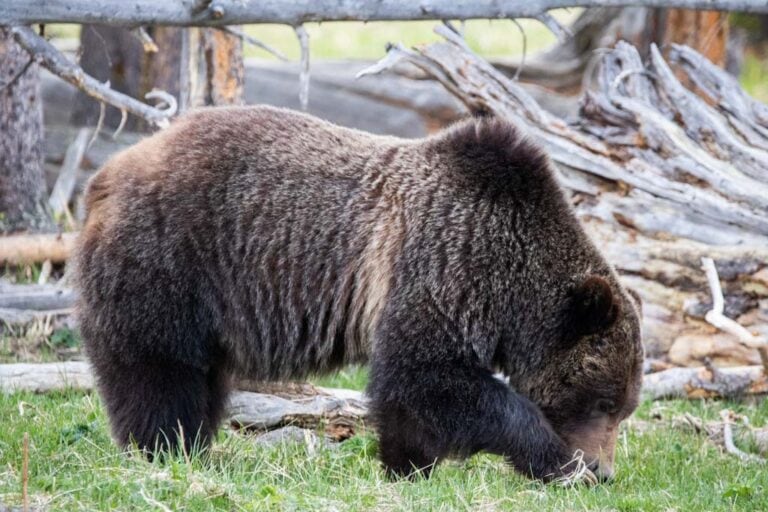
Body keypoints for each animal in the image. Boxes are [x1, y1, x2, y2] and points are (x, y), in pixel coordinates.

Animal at [76, 106, 640, 482]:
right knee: (157, 370)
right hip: (169, 261)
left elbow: (413, 402)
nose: (604, 469)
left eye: (624, 407)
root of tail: (106, 175)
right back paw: (165, 450)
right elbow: (427, 379)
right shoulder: (439, 267)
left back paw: (195, 447)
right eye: (604, 401)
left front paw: (408, 466)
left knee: (203, 377)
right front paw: (558, 462)